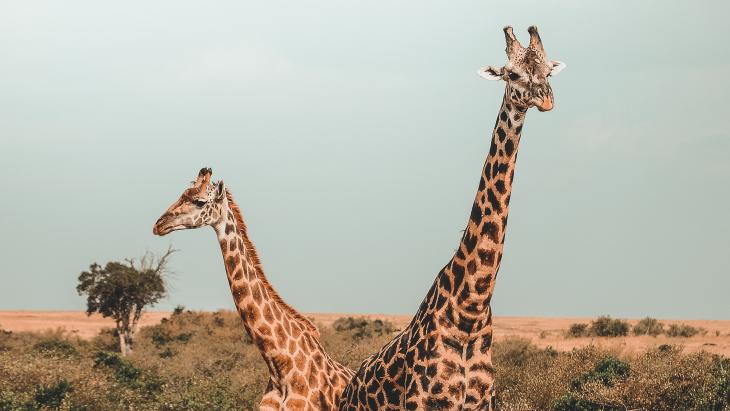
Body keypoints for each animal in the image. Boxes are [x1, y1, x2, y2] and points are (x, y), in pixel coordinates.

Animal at [338, 26, 565, 410]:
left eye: (549, 71)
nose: (546, 99)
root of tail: (349, 388)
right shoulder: (423, 401)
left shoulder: (482, 402)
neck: (469, 312)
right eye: (512, 74)